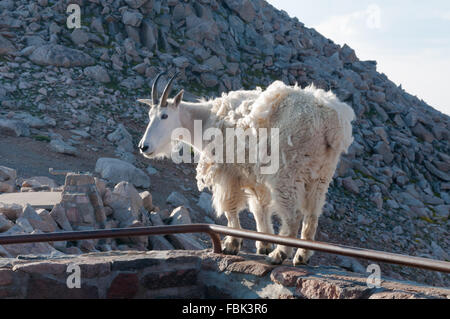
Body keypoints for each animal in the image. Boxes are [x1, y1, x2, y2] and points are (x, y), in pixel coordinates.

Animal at [138, 74, 356, 266]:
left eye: (164, 115)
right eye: (149, 115)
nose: (144, 147)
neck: (205, 120)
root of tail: (331, 121)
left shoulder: (227, 173)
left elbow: (230, 207)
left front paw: (233, 244)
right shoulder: (255, 178)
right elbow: (259, 209)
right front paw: (264, 245)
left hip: (287, 173)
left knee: (293, 216)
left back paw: (279, 254)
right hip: (320, 175)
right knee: (312, 215)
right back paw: (302, 256)